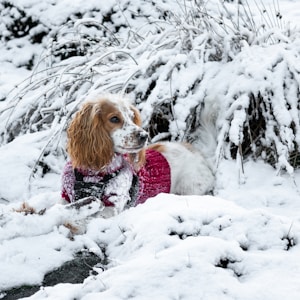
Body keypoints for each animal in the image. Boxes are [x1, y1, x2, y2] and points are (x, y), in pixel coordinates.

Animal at [61, 94, 216, 216]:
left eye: (131, 117)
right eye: (114, 119)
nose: (144, 135)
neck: (94, 173)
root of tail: (196, 152)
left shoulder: (111, 207)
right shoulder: (65, 197)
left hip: (190, 188)